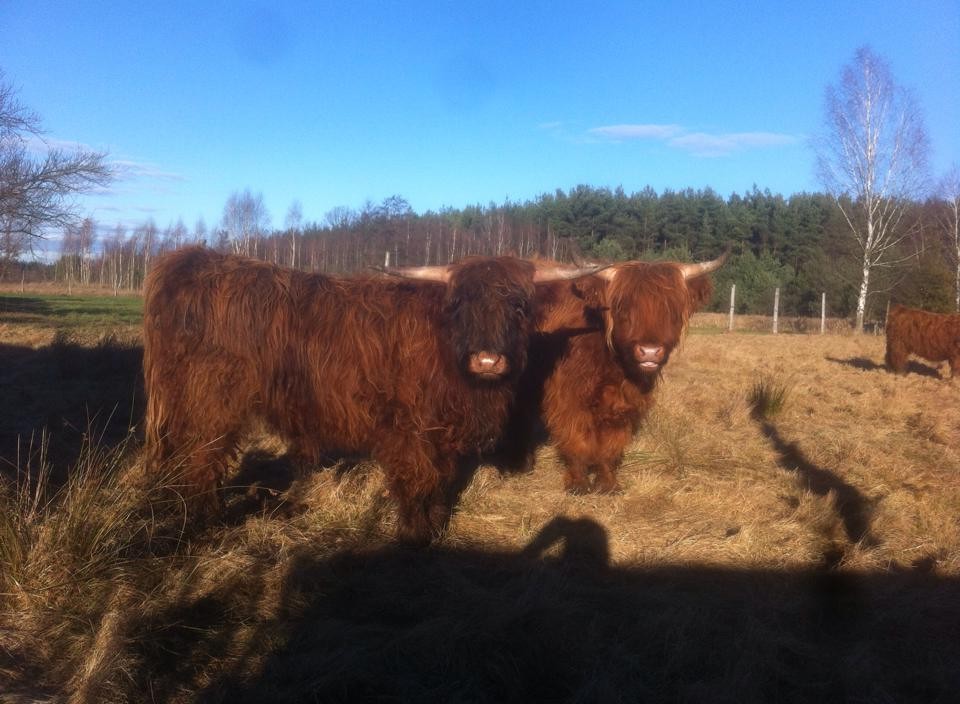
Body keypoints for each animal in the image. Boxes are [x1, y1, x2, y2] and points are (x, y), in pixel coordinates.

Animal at [142, 246, 599, 543]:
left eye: (519, 306)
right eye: (458, 306)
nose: (487, 360)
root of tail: (191, 261)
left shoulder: (442, 431)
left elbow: (440, 479)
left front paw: (435, 525)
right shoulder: (408, 430)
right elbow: (417, 480)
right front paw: (415, 535)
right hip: (209, 403)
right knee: (201, 458)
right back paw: (204, 522)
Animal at [502, 255, 725, 493]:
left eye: (671, 310)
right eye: (623, 308)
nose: (650, 351)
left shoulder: (624, 401)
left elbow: (611, 443)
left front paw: (607, 482)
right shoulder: (569, 397)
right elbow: (578, 438)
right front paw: (578, 482)